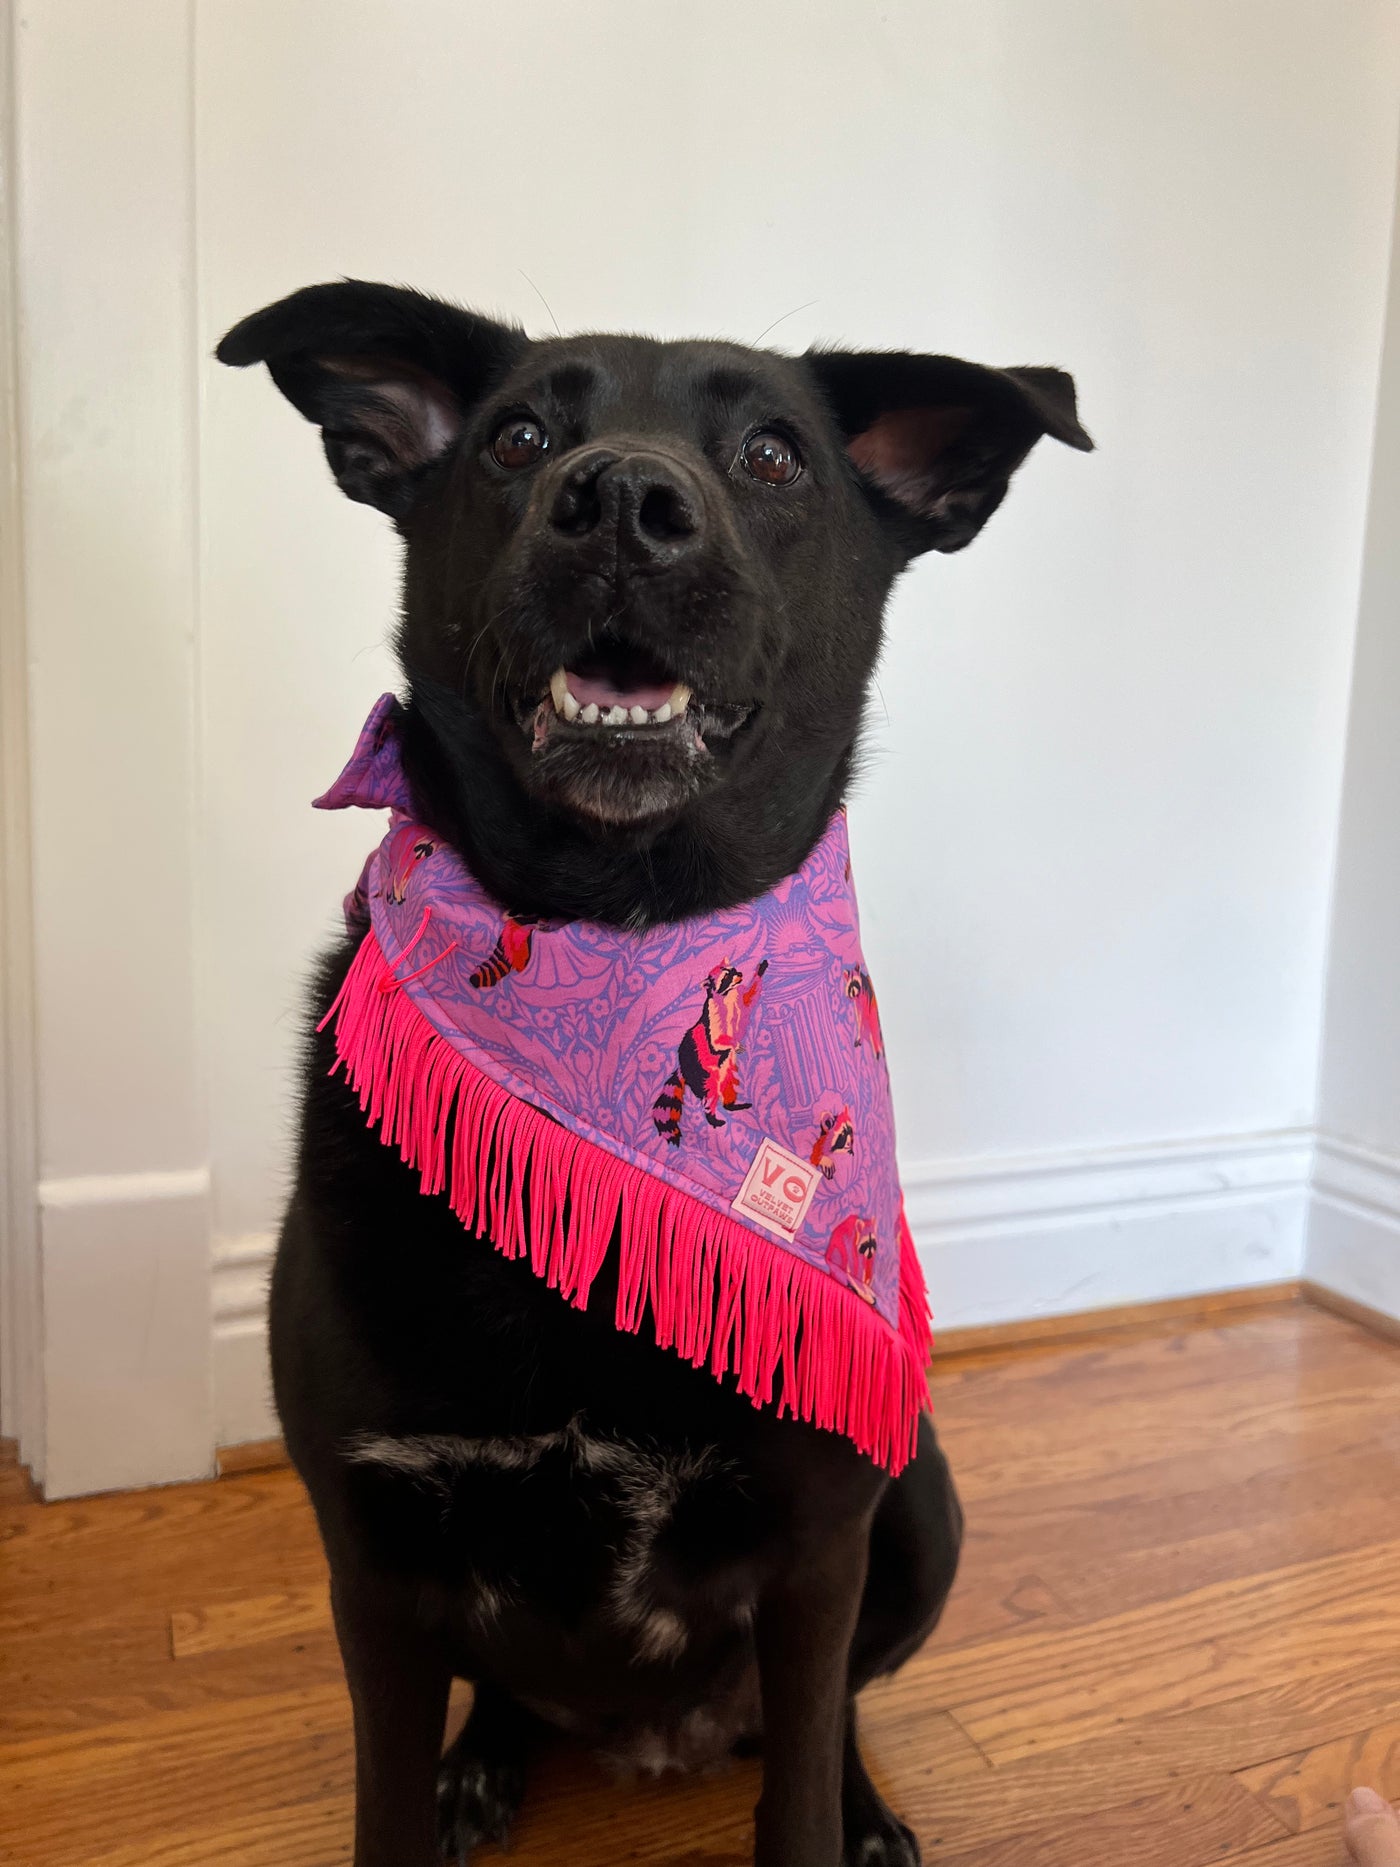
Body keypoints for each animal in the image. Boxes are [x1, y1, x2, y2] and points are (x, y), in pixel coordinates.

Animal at [657, 963, 772, 1135]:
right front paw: (733, 1044)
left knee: (727, 1084)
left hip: (726, 1069)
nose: (740, 973)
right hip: (703, 1074)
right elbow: (718, 1041)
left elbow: (749, 1000)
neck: (728, 994)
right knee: (710, 1094)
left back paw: (731, 1105)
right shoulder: (713, 1017)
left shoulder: (738, 1003)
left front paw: (759, 972)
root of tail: (682, 1067)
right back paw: (712, 1117)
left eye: (733, 970)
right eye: (726, 977)